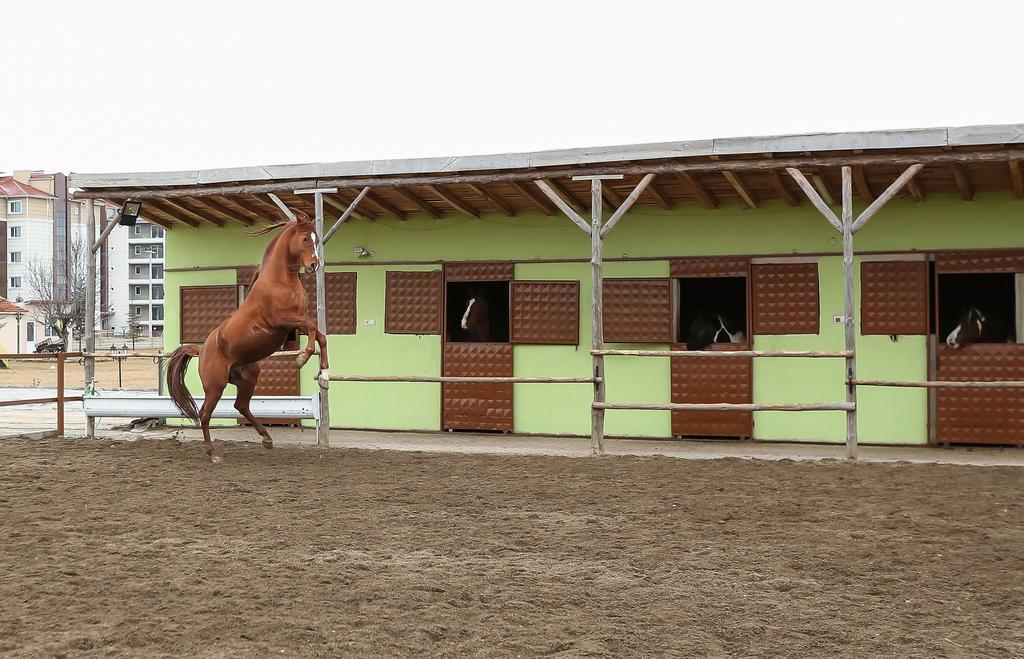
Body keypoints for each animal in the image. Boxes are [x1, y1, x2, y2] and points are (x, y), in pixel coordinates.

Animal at [166, 210, 327, 462]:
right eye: (304, 239)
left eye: (316, 239)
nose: (313, 265)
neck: (280, 280)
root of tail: (201, 350)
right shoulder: (282, 320)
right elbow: (312, 329)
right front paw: (302, 359)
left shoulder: (297, 321)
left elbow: (320, 335)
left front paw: (325, 374)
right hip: (215, 385)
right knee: (205, 414)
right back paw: (213, 453)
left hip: (249, 376)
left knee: (241, 406)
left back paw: (267, 439)